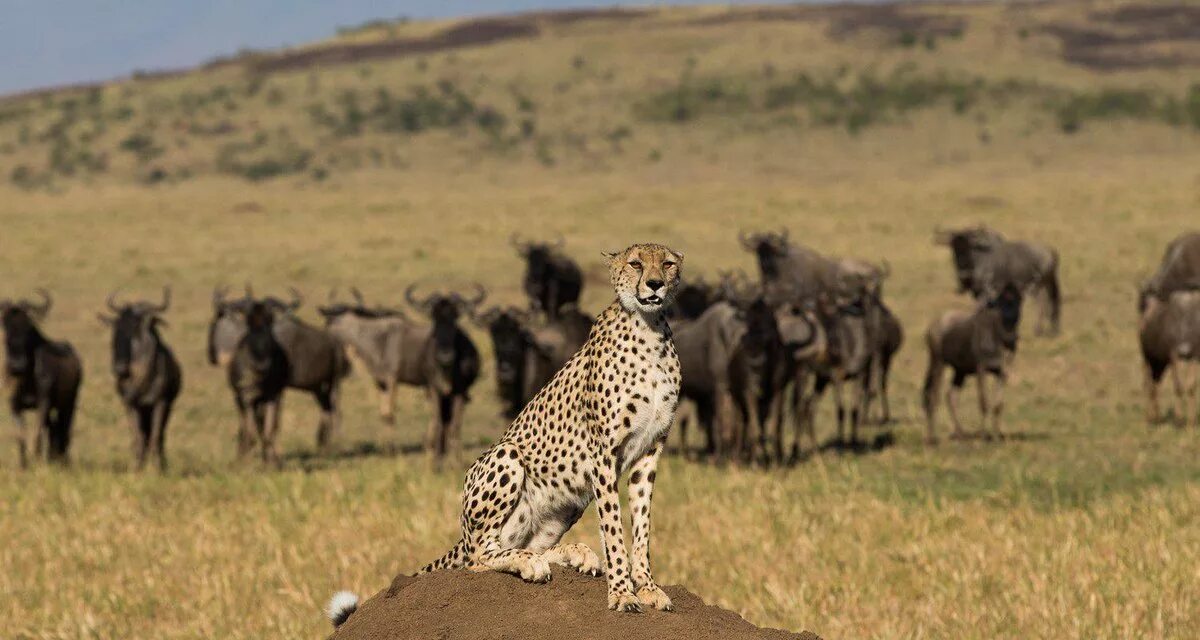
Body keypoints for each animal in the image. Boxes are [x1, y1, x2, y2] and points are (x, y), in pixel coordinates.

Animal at [422, 242, 686, 612]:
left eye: (668, 264)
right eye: (636, 264)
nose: (655, 284)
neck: (649, 330)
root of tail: (462, 534)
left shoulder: (649, 451)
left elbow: (642, 523)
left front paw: (647, 586)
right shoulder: (602, 453)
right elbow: (613, 526)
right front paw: (621, 592)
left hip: (567, 502)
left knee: (522, 543)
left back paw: (573, 554)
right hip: (507, 456)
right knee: (479, 556)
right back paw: (529, 563)